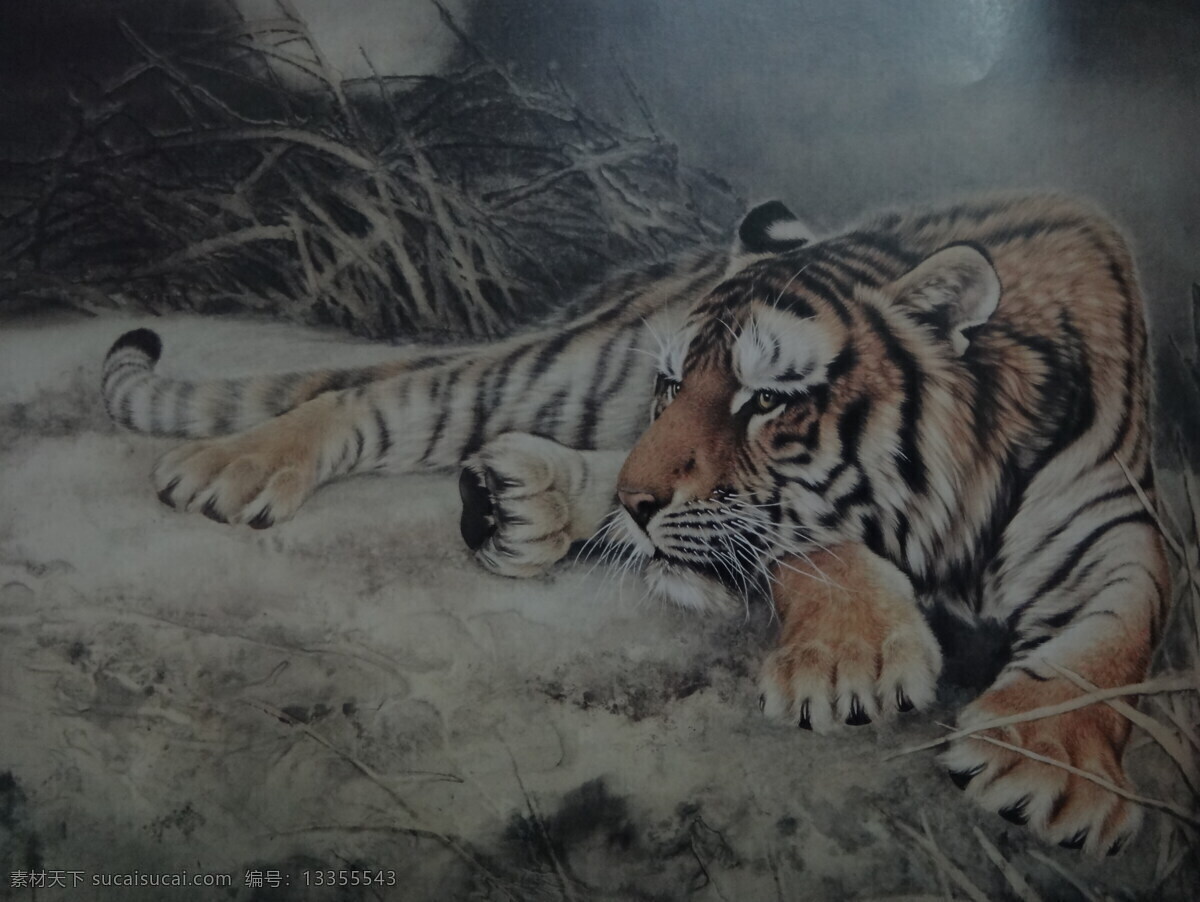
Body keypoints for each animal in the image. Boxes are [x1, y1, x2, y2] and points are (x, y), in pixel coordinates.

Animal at [101, 193, 1169, 857]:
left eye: (767, 399)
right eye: (671, 383)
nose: (644, 502)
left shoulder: (1120, 530)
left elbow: (1121, 635)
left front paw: (1045, 762)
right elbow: (813, 539)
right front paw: (851, 662)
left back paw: (517, 503)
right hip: (544, 374)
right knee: (379, 394)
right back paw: (238, 466)